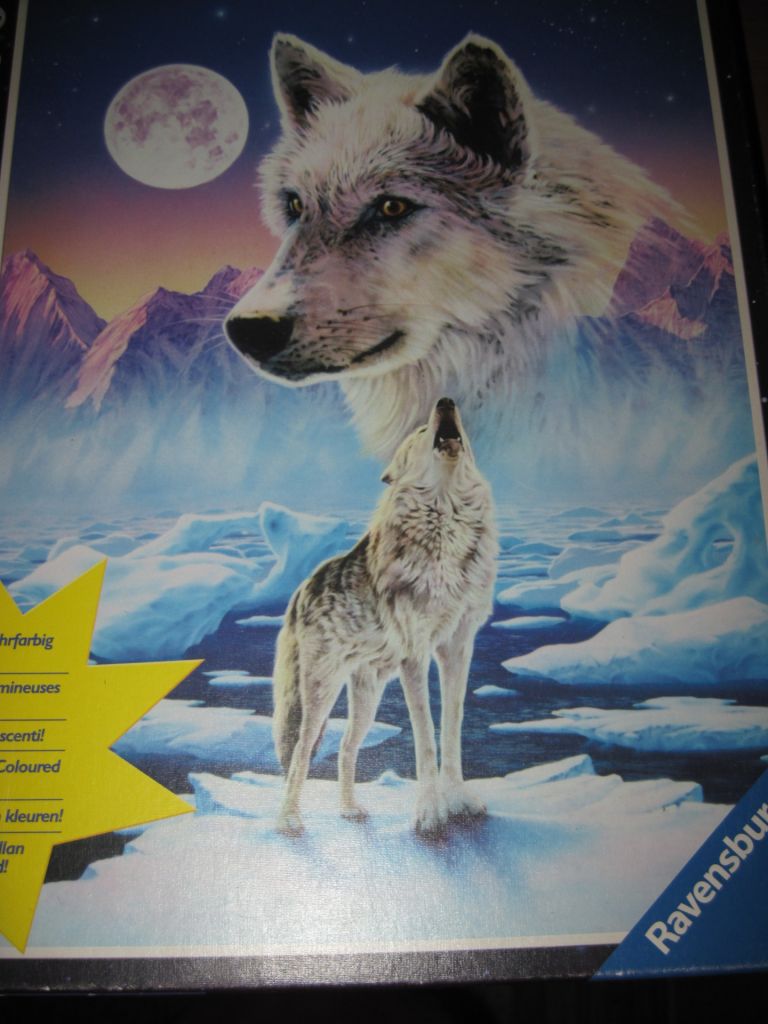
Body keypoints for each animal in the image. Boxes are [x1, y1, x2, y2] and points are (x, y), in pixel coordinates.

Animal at [272, 397, 497, 835]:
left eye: (455, 422)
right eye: (421, 432)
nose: (445, 401)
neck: (446, 524)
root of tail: (302, 587)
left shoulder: (458, 648)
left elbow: (453, 728)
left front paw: (458, 801)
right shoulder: (416, 655)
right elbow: (425, 738)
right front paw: (430, 813)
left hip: (368, 695)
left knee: (345, 747)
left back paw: (349, 810)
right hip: (320, 692)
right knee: (301, 753)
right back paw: (288, 819)